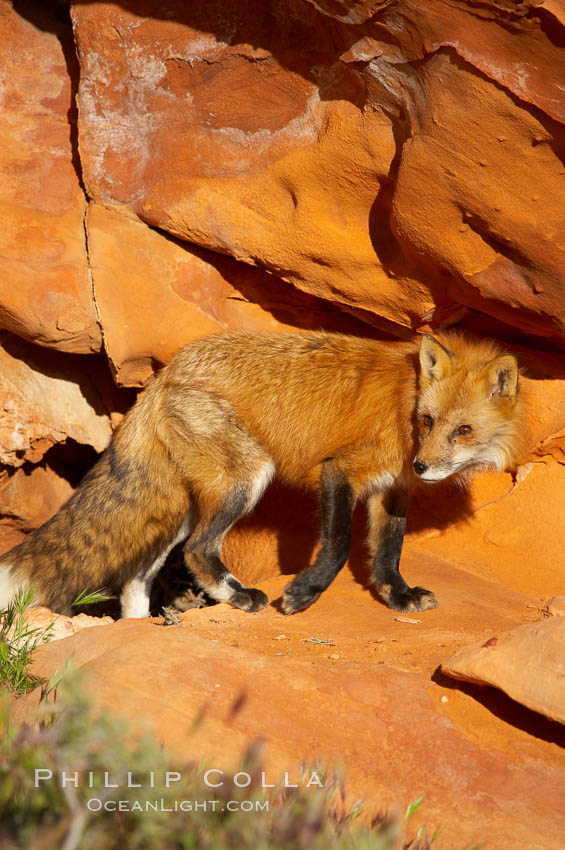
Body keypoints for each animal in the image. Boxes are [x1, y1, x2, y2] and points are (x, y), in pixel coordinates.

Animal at [0, 332, 524, 616]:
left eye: (463, 429)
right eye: (428, 421)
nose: (423, 465)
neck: (405, 404)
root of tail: (164, 374)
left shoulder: (393, 489)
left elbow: (388, 555)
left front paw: (398, 597)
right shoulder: (340, 471)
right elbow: (338, 547)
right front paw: (303, 594)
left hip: (187, 506)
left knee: (137, 576)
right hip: (245, 478)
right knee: (198, 551)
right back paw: (238, 598)